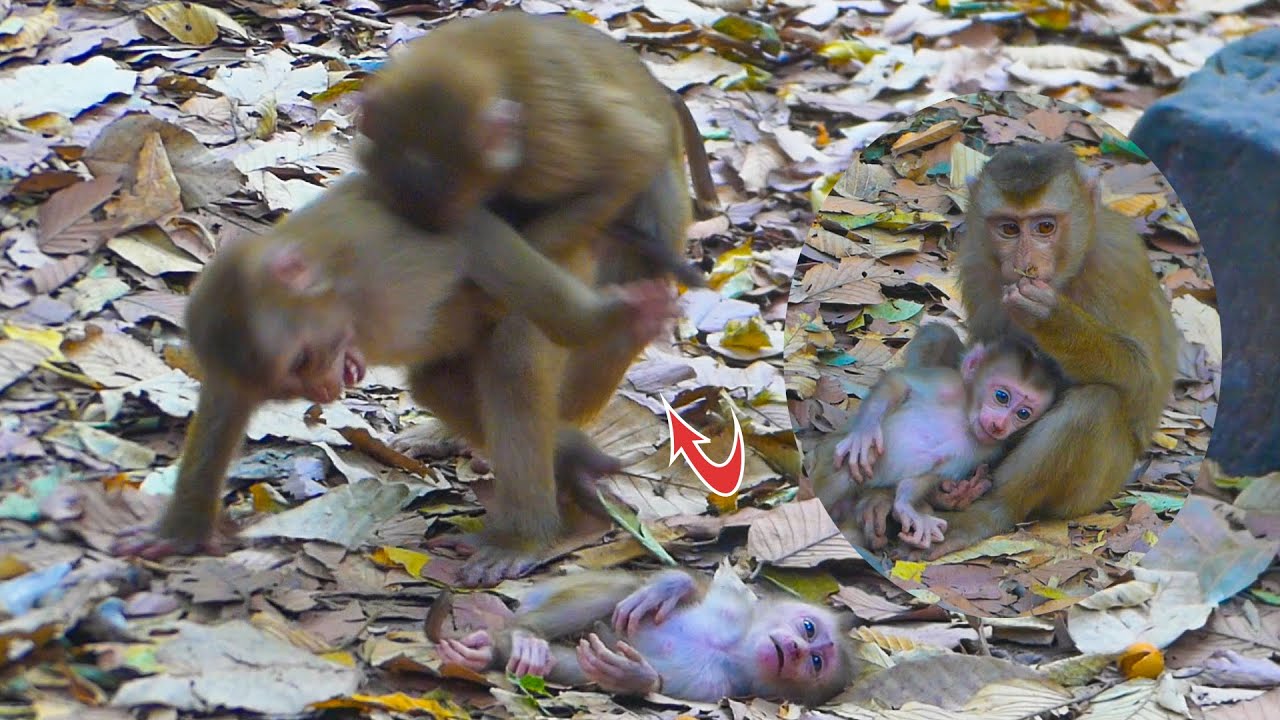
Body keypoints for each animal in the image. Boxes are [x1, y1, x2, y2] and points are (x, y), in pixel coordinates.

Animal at [109, 172, 678, 570]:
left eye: (301, 361)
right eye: (287, 382)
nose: (322, 388)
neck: (343, 284)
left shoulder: (394, 247)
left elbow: (476, 240)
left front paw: (621, 318)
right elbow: (226, 405)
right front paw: (181, 530)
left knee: (513, 363)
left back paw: (523, 533)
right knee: (439, 383)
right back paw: (566, 456)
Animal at [431, 566, 862, 706]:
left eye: (815, 662)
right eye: (808, 629)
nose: (793, 648)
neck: (732, 650)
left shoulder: (717, 688)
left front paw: (633, 676)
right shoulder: (737, 610)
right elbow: (707, 589)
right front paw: (670, 587)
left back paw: (502, 648)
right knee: (619, 591)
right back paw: (523, 634)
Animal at [813, 325, 1064, 550]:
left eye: (1023, 414)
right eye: (1002, 396)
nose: (1000, 426)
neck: (965, 419)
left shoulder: (987, 449)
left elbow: (934, 471)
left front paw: (906, 507)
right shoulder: (946, 383)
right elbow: (898, 383)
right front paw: (864, 433)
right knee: (843, 473)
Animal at [850, 143, 1179, 558]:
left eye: (1045, 227)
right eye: (1009, 228)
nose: (1025, 265)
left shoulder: (1120, 268)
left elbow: (1144, 385)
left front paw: (1051, 318)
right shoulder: (977, 262)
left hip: (1091, 492)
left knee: (1094, 405)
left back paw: (988, 510)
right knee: (936, 338)